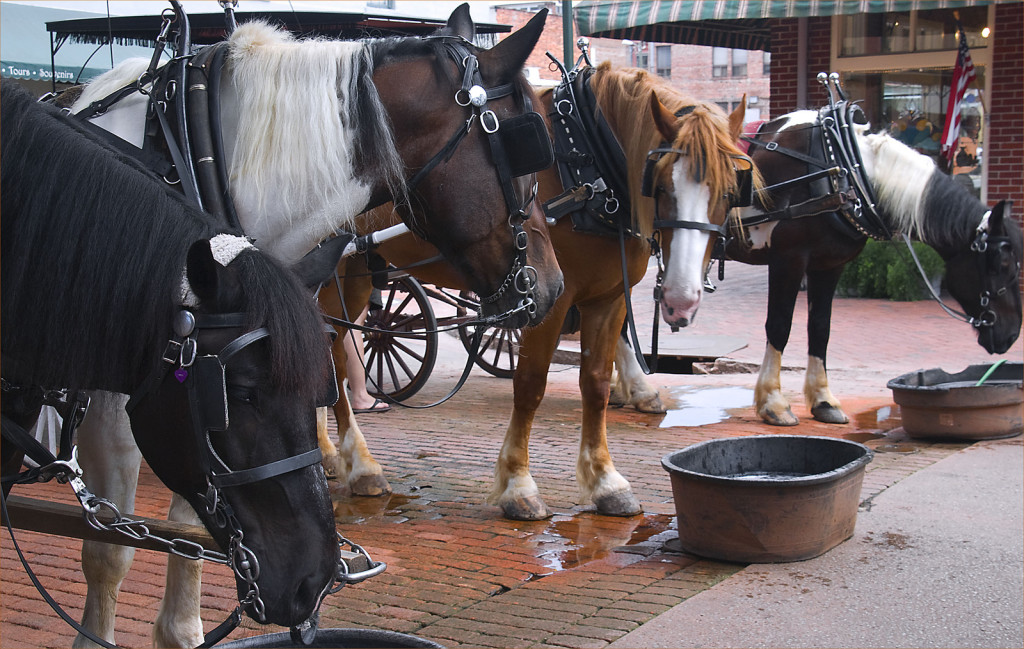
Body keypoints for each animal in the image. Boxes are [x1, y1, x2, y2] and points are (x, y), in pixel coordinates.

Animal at [64, 6, 565, 646]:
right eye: (530, 145)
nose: (552, 286)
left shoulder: (204, 387)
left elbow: (198, 522)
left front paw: (183, 629)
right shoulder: (119, 395)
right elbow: (107, 549)